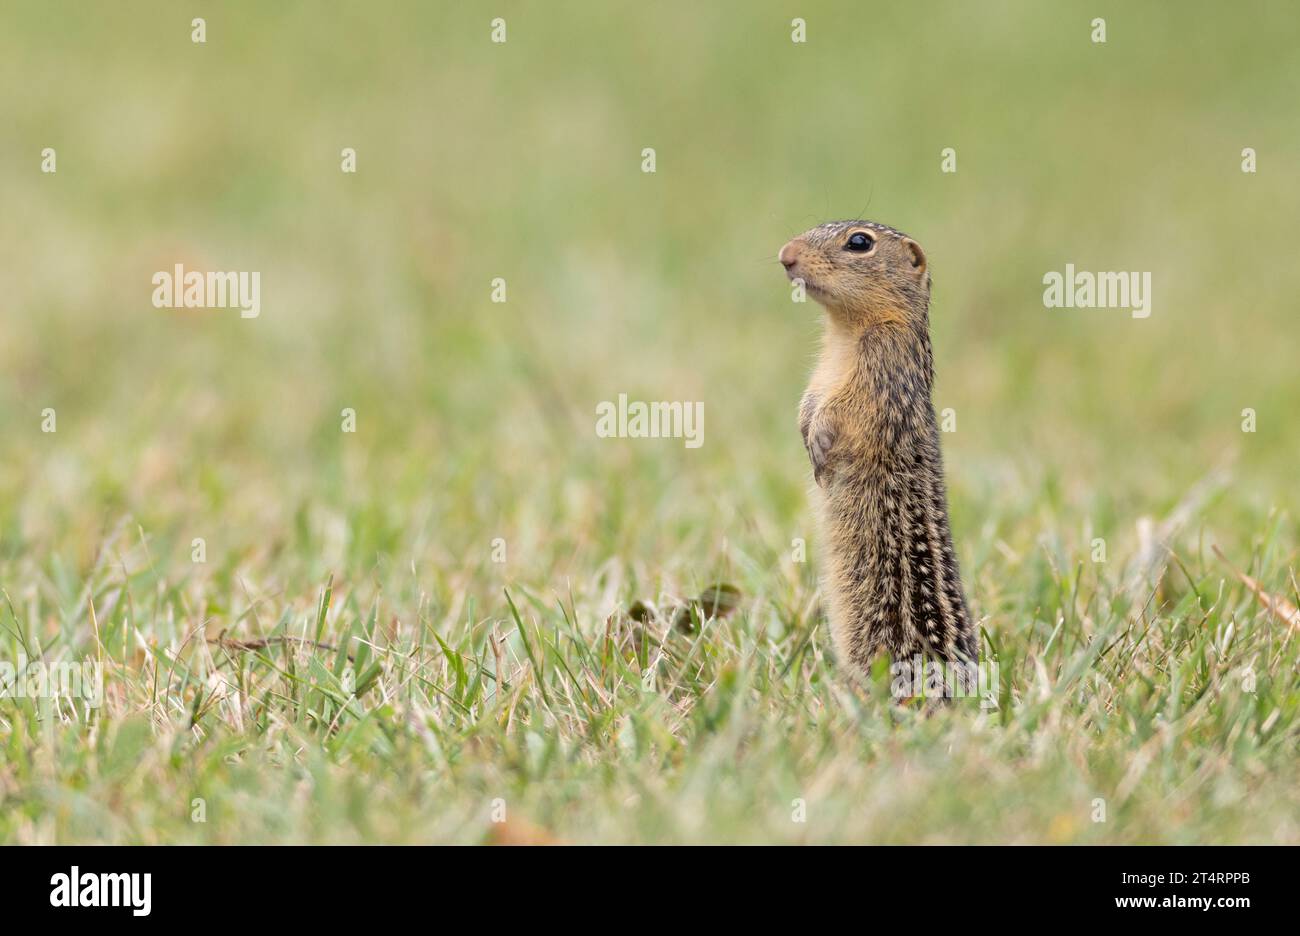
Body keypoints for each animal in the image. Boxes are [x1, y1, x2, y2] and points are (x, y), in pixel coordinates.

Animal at [780, 219, 977, 681]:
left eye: (859, 242)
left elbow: (841, 410)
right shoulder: (820, 377)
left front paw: (818, 445)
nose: (785, 254)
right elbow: (809, 402)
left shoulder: (882, 368)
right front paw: (806, 434)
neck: (845, 333)